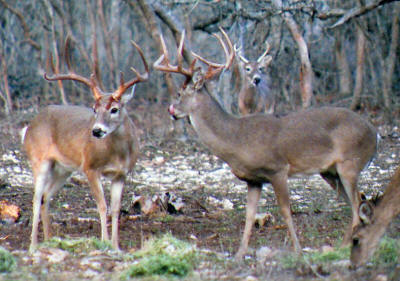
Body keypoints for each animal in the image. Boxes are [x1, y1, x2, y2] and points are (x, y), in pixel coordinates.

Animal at [21, 36, 148, 253]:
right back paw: (33, 246)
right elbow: (102, 205)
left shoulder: (121, 174)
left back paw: (49, 240)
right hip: (39, 160)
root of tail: (31, 124)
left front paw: (116, 246)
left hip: (63, 169)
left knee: (46, 196)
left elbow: (116, 208)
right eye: (94, 108)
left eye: (114, 109)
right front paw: (104, 242)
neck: (118, 154)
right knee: (36, 198)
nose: (96, 131)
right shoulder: (90, 167)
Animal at [154, 27, 378, 260]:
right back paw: (343, 245)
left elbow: (286, 211)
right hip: (330, 172)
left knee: (357, 203)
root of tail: (375, 134)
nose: (171, 110)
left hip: (350, 163)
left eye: (180, 93)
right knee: (357, 202)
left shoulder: (277, 168)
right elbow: (249, 214)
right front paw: (239, 254)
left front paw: (298, 250)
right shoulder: (253, 179)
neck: (236, 140)